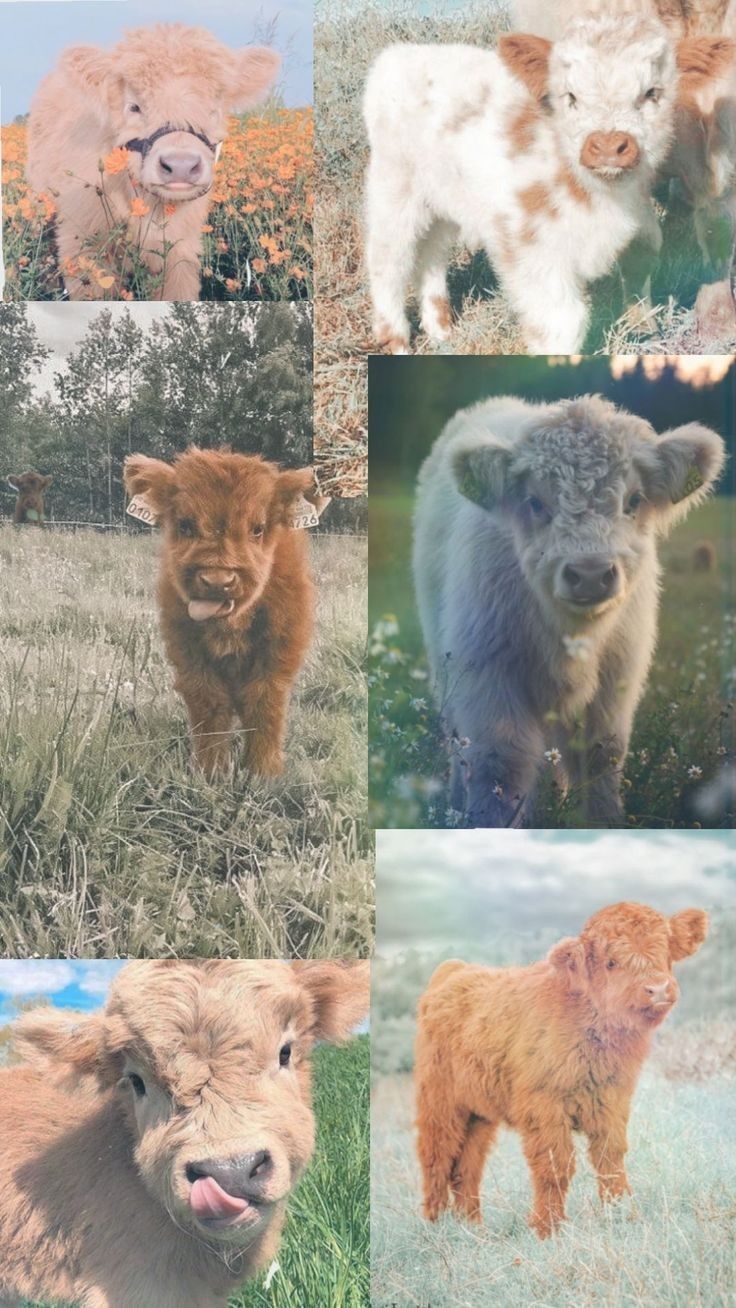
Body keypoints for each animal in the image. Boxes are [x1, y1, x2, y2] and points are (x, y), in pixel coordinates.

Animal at [124, 447, 317, 779]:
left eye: (257, 528)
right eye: (185, 525)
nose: (217, 581)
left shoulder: (279, 652)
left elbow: (265, 703)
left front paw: (263, 774)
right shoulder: (189, 654)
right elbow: (210, 704)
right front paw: (210, 772)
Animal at [363, 17, 732, 353]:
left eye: (651, 93)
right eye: (570, 96)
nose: (608, 145)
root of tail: (400, 54)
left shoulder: (637, 223)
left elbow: (642, 261)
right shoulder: (529, 247)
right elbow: (563, 324)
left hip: (443, 197)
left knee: (432, 254)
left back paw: (441, 331)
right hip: (394, 187)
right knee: (388, 260)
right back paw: (396, 342)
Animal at [412, 394, 725, 826]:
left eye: (634, 500)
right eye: (534, 502)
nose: (591, 575)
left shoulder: (617, 677)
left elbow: (601, 756)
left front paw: (604, 824)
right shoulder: (487, 674)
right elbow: (500, 764)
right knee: (459, 742)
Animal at [415, 902, 708, 1238]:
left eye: (664, 952)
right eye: (611, 962)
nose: (658, 989)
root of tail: (454, 970)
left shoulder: (612, 1101)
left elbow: (610, 1158)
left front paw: (622, 1215)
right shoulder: (544, 1108)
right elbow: (555, 1167)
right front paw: (547, 1229)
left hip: (479, 1114)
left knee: (466, 1167)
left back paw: (473, 1228)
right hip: (439, 1104)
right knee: (436, 1160)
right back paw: (435, 1229)